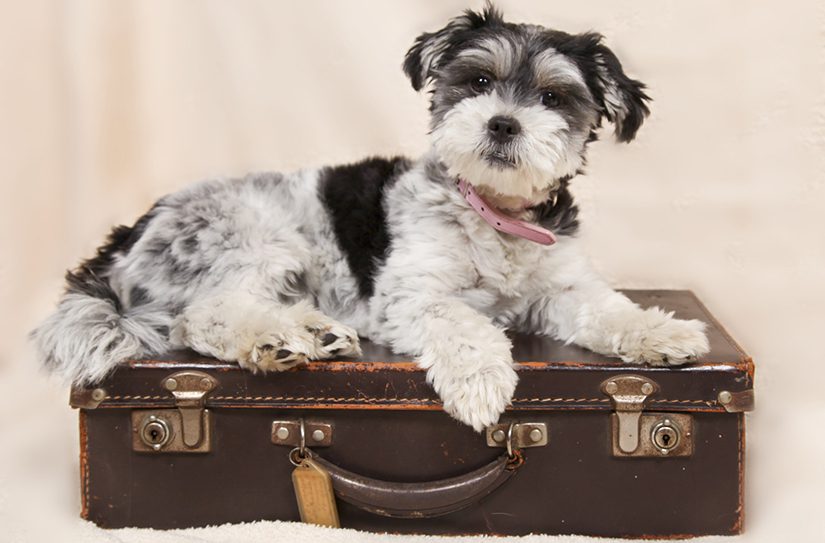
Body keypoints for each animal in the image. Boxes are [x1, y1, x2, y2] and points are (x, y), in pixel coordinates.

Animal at [32, 3, 708, 430]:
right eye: (478, 81)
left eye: (552, 96)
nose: (502, 123)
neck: (494, 217)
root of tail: (124, 238)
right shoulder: (411, 295)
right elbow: (463, 325)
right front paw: (482, 383)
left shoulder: (562, 288)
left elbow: (609, 309)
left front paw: (663, 333)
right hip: (256, 240)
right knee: (201, 317)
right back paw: (276, 340)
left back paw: (314, 332)